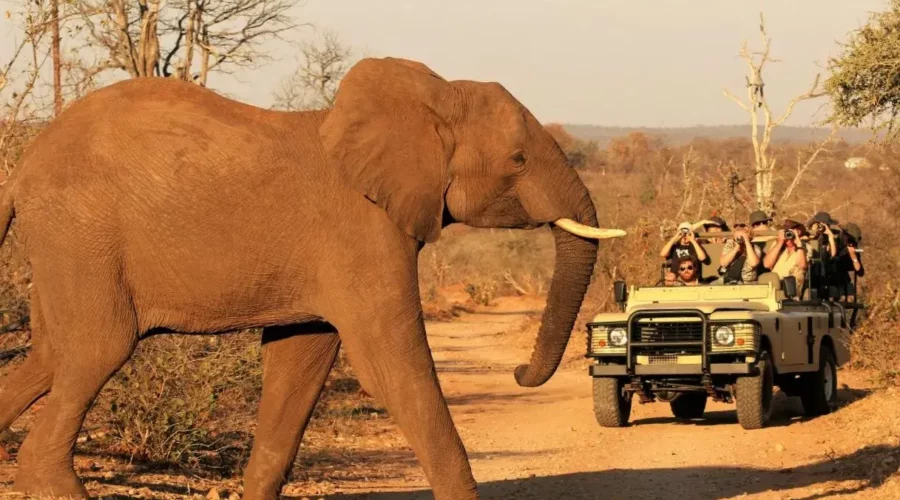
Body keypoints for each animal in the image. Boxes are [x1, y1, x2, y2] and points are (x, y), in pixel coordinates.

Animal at [0, 56, 624, 498]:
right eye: (519, 160)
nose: (519, 372)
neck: (432, 96)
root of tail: (23, 165)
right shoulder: (361, 231)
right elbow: (391, 364)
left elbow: (300, 362)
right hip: (81, 233)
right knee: (96, 348)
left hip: (67, 245)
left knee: (50, 357)